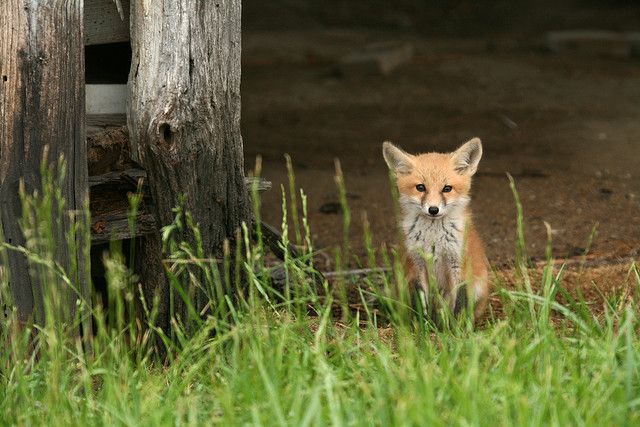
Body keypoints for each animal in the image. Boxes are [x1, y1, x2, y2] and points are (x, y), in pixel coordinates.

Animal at [382, 138, 490, 323]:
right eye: (420, 187)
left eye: (447, 188)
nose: (433, 210)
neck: (434, 239)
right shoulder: (417, 264)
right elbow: (421, 301)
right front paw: (424, 326)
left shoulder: (458, 265)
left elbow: (458, 305)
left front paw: (456, 328)